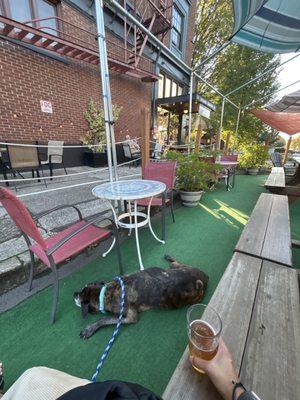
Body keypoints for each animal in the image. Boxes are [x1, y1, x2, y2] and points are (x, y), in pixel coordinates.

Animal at [73, 255, 209, 340]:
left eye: (79, 296)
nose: (74, 294)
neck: (105, 292)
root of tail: (204, 277)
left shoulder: (131, 317)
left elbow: (104, 319)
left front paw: (90, 328)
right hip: (174, 269)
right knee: (176, 263)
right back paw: (169, 258)